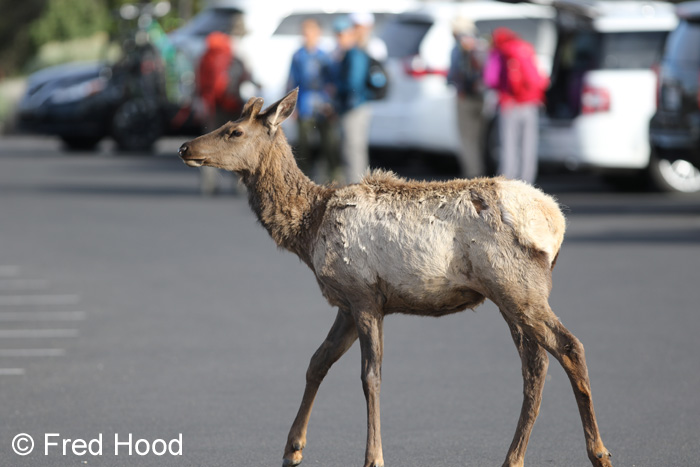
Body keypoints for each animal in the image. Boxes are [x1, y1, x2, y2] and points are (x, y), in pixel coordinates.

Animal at [178, 89, 612, 467]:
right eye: (225, 124)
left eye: (234, 131)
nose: (185, 148)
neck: (308, 228)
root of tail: (556, 223)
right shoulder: (347, 303)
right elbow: (317, 362)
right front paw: (292, 449)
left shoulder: (364, 294)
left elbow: (370, 376)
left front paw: (373, 457)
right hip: (511, 295)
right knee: (535, 365)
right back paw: (514, 458)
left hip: (515, 286)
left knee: (568, 347)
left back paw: (598, 453)